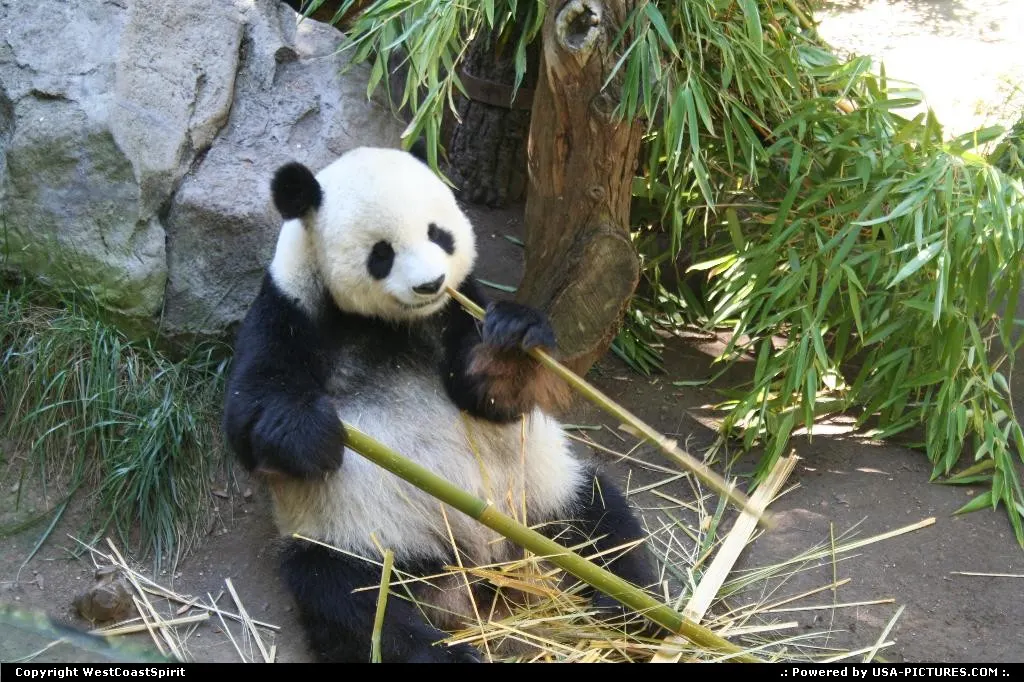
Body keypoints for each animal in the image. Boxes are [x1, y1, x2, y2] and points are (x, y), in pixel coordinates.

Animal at [222, 147, 657, 662]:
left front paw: (511, 342)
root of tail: (478, 573)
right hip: (362, 540)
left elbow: (488, 397)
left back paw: (632, 613)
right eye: (382, 253)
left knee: (606, 525)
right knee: (353, 603)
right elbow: (251, 414)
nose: (430, 284)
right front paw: (315, 435)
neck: (387, 324)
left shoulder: (460, 305)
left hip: (544, 495)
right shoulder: (289, 309)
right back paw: (445, 651)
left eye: (439, 234)